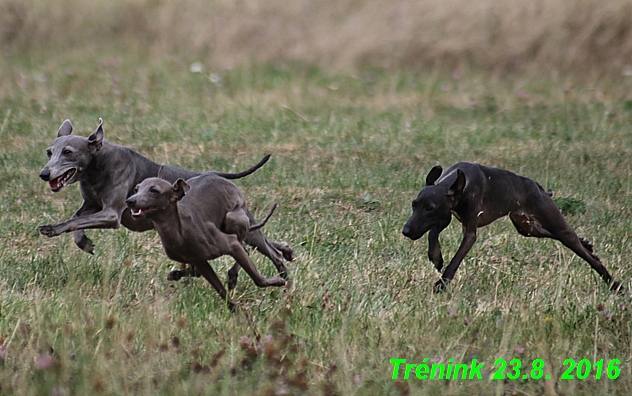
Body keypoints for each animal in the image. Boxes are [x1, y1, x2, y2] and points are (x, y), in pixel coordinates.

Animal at [35, 117, 290, 282]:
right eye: (49, 152)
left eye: (67, 152)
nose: (44, 174)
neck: (97, 166)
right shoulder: (92, 205)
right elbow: (76, 220)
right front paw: (83, 242)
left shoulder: (111, 213)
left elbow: (74, 221)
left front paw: (52, 229)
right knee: (260, 240)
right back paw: (286, 251)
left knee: (263, 246)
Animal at [124, 167, 286, 310]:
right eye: (136, 189)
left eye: (154, 190)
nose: (129, 201)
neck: (179, 232)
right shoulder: (199, 261)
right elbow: (221, 291)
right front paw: (236, 311)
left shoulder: (231, 244)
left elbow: (259, 280)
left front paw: (278, 281)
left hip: (233, 217)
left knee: (248, 250)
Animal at [402, 162, 620, 292]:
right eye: (414, 204)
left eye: (430, 208)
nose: (405, 231)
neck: (457, 185)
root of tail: (539, 188)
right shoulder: (444, 218)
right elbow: (432, 235)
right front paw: (436, 258)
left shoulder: (469, 232)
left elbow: (456, 259)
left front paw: (442, 283)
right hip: (527, 228)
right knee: (555, 236)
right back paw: (587, 244)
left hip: (558, 226)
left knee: (586, 255)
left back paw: (614, 284)